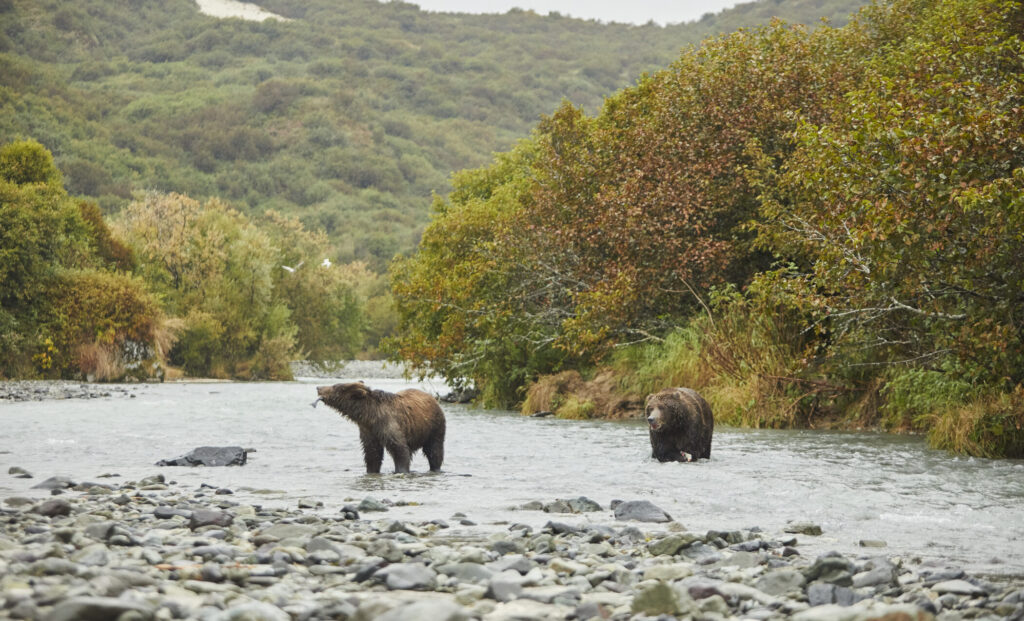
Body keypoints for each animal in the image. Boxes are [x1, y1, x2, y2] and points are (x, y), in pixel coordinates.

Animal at [313, 381, 446, 475]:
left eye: (335, 386)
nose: (318, 388)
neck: (369, 415)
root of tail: (432, 397)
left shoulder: (388, 424)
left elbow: (399, 449)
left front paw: (401, 470)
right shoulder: (368, 430)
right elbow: (372, 453)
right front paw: (371, 471)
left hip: (434, 427)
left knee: (434, 450)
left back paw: (435, 467)